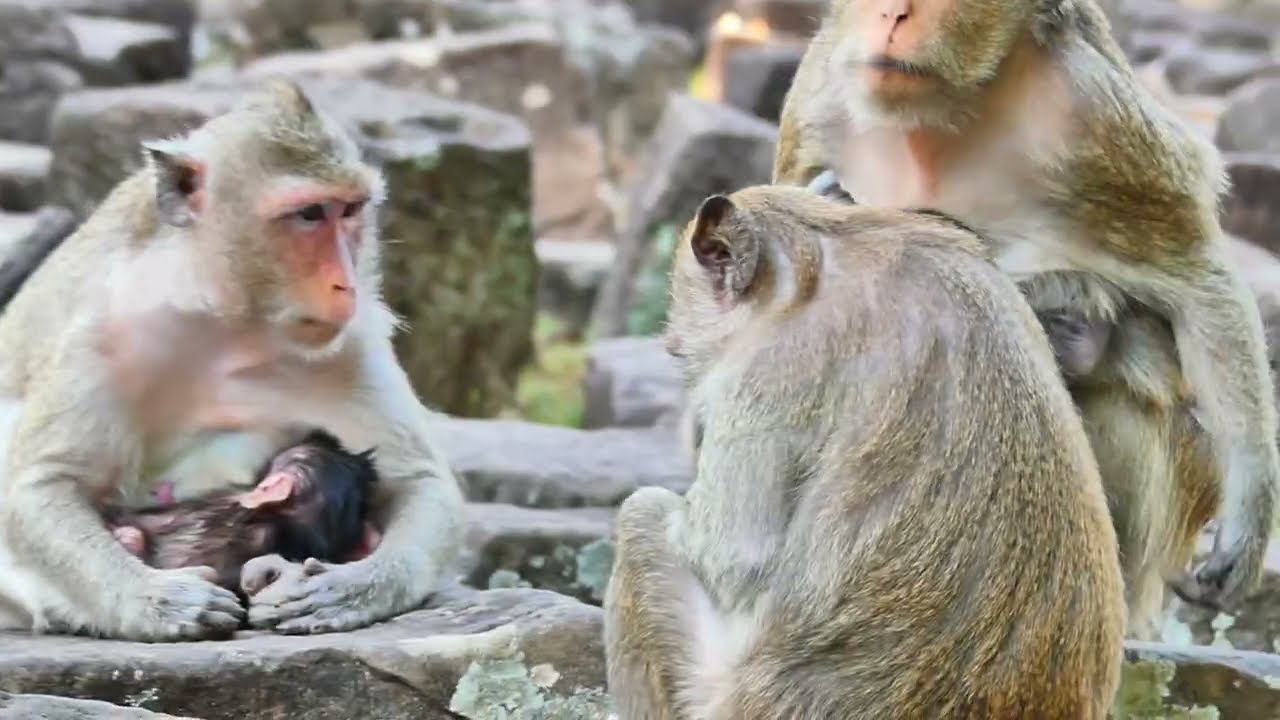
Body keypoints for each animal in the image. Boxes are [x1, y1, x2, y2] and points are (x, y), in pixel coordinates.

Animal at [604, 186, 1126, 719]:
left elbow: (732, 555)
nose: (672, 339)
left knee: (641, 515)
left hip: (722, 700)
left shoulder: (769, 367)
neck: (818, 255)